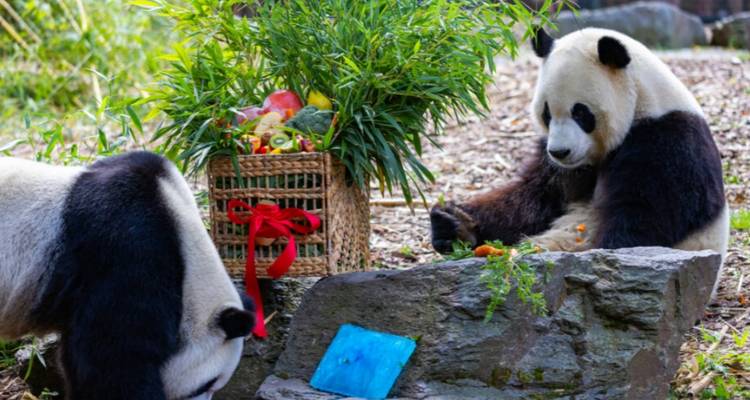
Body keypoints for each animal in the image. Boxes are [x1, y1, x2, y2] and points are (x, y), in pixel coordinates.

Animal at [431, 28, 729, 265]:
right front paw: (453, 222)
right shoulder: (558, 165)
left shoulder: (667, 143)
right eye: (546, 113)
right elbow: (533, 199)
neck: (642, 104)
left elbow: (645, 219)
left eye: (581, 113)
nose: (560, 152)